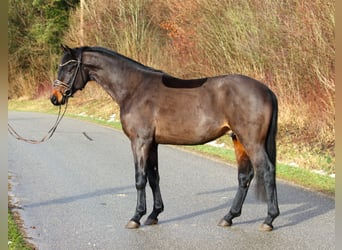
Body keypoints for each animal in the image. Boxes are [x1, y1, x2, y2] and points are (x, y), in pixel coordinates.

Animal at [51, 45, 280, 230]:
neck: (134, 89)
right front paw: (154, 214)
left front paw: (136, 217)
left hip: (251, 141)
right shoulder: (152, 144)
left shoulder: (140, 142)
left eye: (70, 68)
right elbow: (154, 178)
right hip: (238, 140)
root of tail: (267, 91)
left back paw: (269, 219)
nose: (55, 98)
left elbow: (140, 179)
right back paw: (229, 217)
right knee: (244, 177)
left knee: (267, 171)